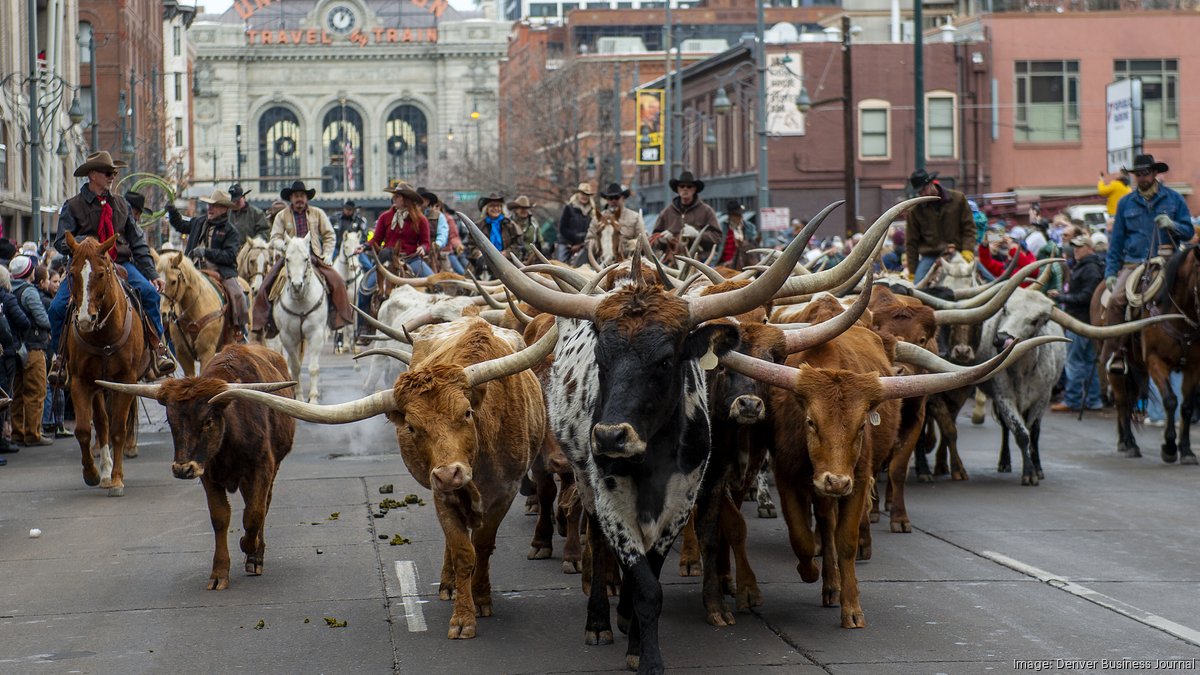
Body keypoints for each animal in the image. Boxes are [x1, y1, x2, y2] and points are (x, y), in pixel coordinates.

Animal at [64, 230, 148, 494]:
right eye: (71, 273)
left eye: (101, 273)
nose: (84, 320)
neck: (103, 336)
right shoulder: (81, 381)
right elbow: (84, 430)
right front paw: (92, 473)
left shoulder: (126, 380)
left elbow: (119, 429)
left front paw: (118, 479)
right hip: (99, 386)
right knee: (101, 423)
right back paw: (104, 472)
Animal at [273, 236, 326, 401]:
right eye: (287, 259)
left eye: (306, 258)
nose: (297, 285)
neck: (301, 300)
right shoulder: (287, 337)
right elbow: (295, 367)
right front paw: (300, 396)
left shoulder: (316, 334)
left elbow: (313, 368)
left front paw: (313, 398)